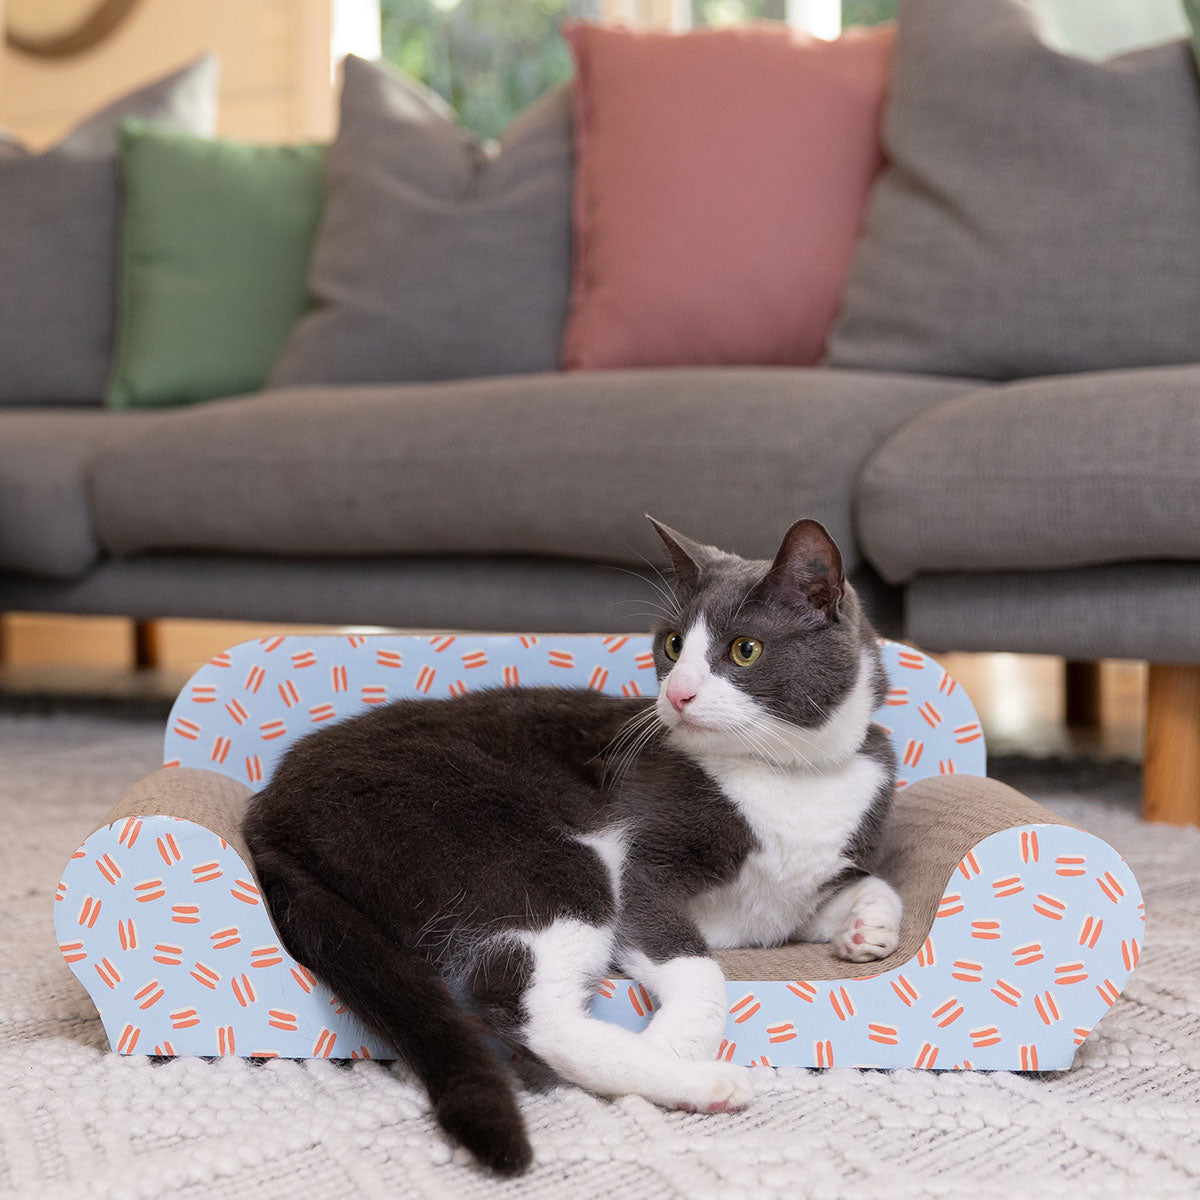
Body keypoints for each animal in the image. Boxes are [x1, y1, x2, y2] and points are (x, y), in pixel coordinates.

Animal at [243, 516, 902, 1171]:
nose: (678, 694)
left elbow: (869, 887)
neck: (788, 778)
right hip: (532, 855)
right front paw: (675, 1047)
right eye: (672, 646)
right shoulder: (644, 861)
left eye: (745, 649)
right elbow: (696, 966)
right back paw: (695, 1083)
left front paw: (867, 931)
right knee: (526, 1010)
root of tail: (271, 810)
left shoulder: (792, 896)